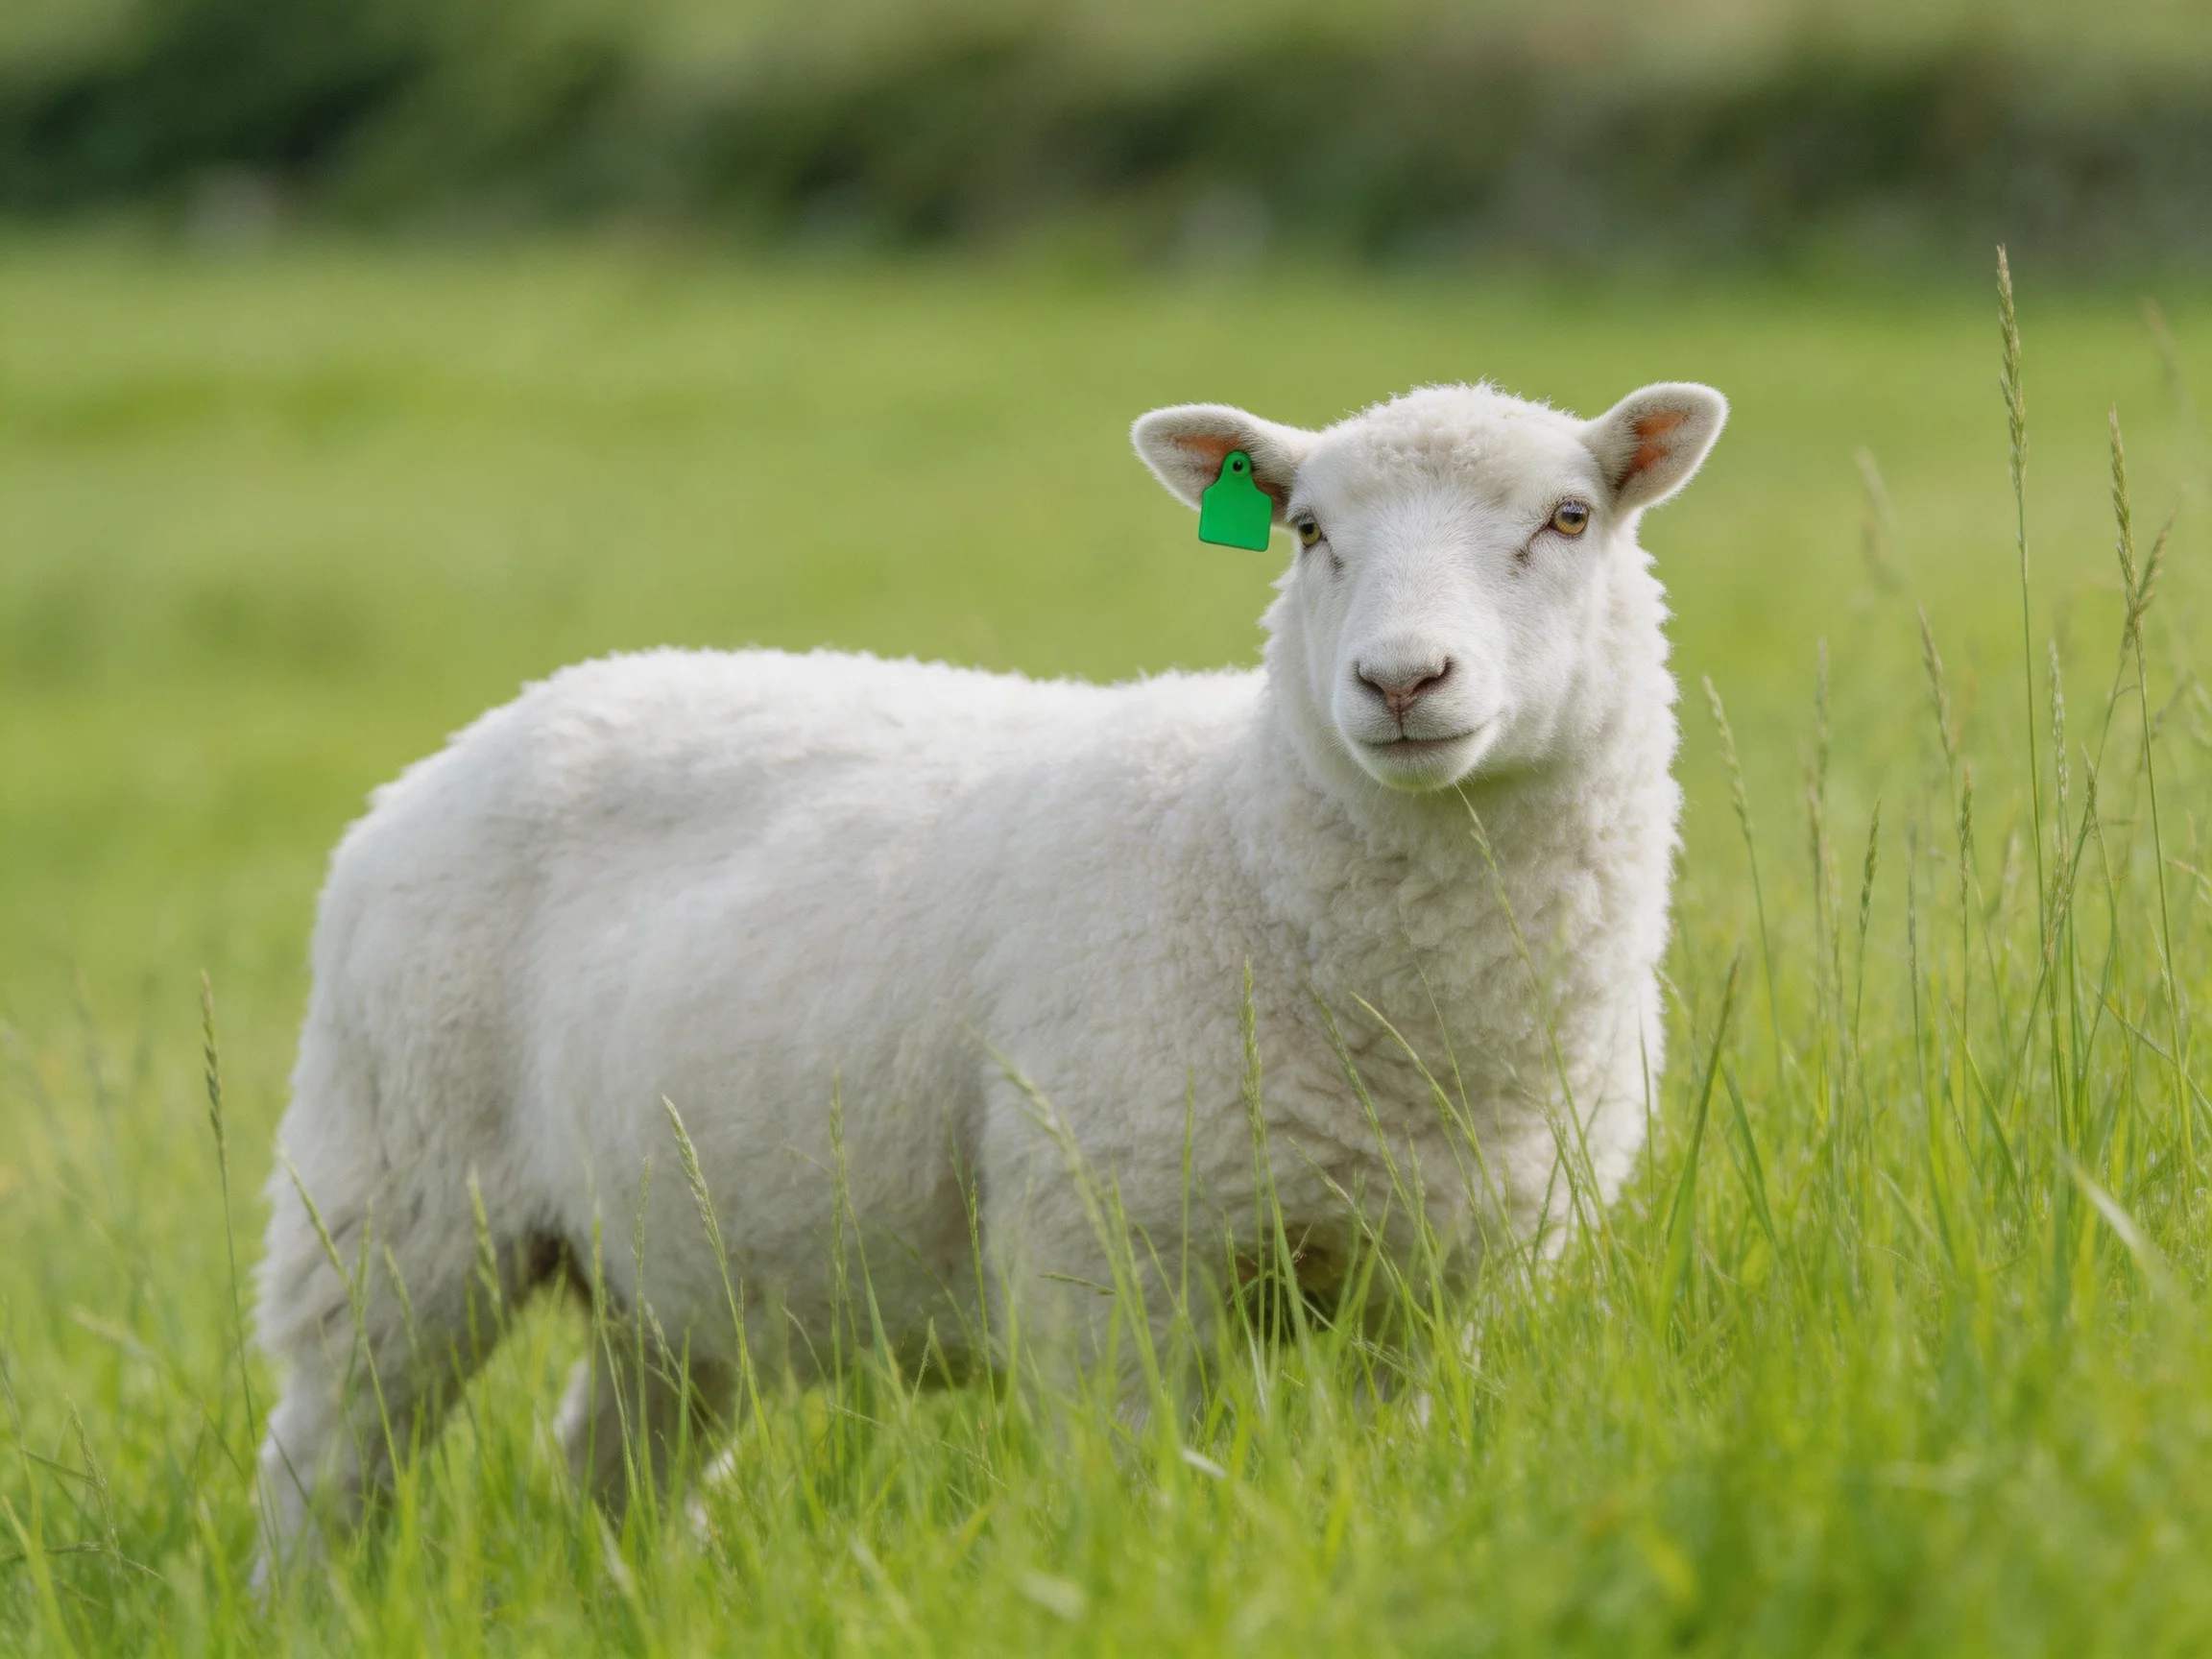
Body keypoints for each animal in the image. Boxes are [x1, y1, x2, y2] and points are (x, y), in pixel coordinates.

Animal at [252, 378, 1726, 1560]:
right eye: (1308, 530)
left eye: (1570, 519)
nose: (1403, 681)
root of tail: (481, 734)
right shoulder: (1101, 1254)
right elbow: (1136, 1489)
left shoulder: (1443, 1288)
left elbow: (1377, 1462)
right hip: (393, 1192)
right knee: (326, 1457)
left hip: (675, 1254)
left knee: (617, 1456)